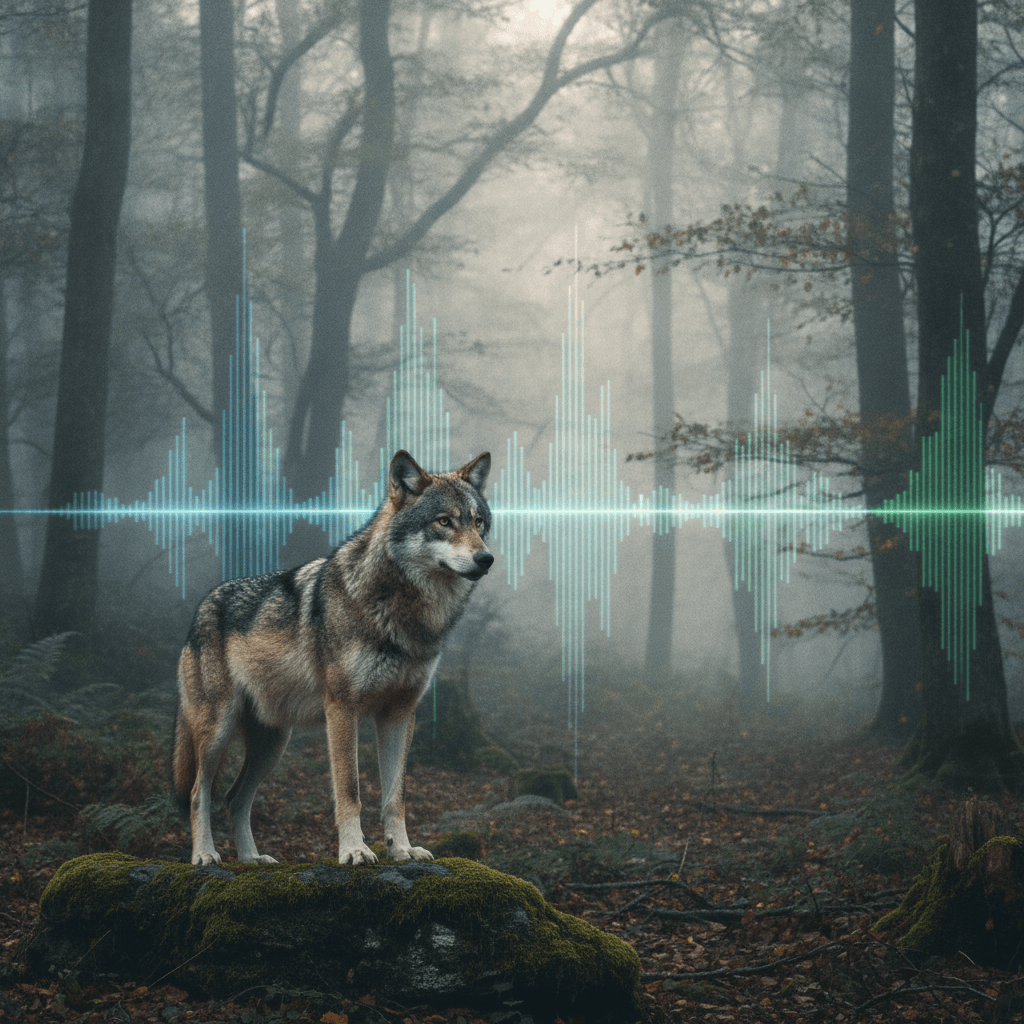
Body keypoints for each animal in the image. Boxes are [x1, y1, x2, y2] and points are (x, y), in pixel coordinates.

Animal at [172, 449, 493, 866]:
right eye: (444, 521)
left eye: (478, 521)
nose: (486, 558)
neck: (402, 612)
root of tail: (200, 610)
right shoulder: (342, 709)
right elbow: (350, 790)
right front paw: (355, 851)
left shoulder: (400, 713)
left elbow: (395, 795)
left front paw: (402, 849)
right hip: (218, 731)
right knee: (200, 793)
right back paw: (206, 855)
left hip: (273, 744)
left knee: (234, 798)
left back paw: (251, 860)